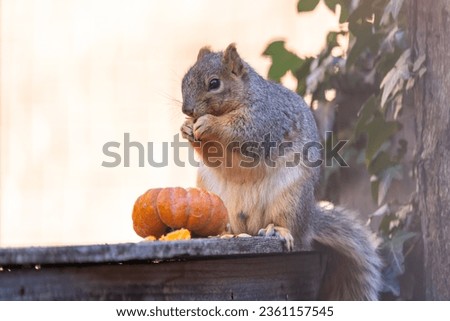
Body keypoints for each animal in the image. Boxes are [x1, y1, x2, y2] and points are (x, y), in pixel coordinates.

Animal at [179, 43, 384, 300]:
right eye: (184, 79)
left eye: (214, 83)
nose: (186, 110)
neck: (244, 96)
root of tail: (308, 223)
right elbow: (213, 155)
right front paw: (186, 128)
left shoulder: (265, 120)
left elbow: (242, 132)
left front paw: (208, 124)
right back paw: (224, 233)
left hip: (290, 198)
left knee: (290, 227)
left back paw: (278, 230)